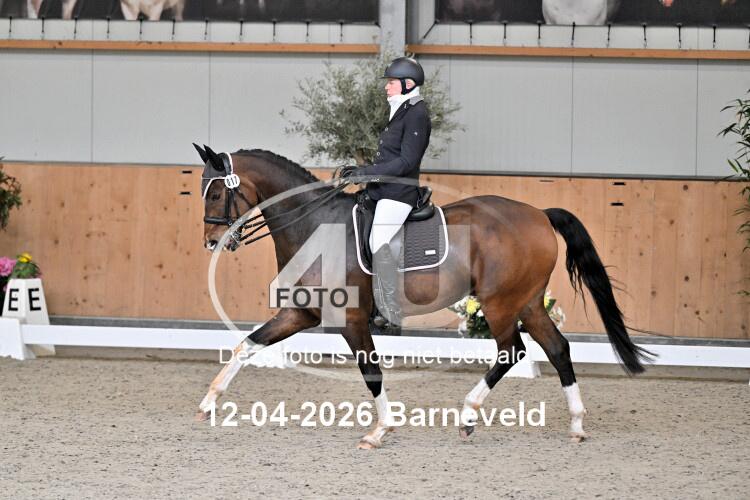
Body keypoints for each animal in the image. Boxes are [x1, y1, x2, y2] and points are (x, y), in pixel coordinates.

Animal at [193, 145, 651, 449]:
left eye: (215, 193)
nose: (213, 242)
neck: (315, 226)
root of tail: (539, 213)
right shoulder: (301, 313)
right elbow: (247, 345)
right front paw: (208, 402)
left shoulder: (352, 320)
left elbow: (371, 372)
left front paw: (380, 430)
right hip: (527, 300)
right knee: (557, 348)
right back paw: (576, 424)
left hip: (500, 303)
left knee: (512, 351)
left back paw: (468, 415)